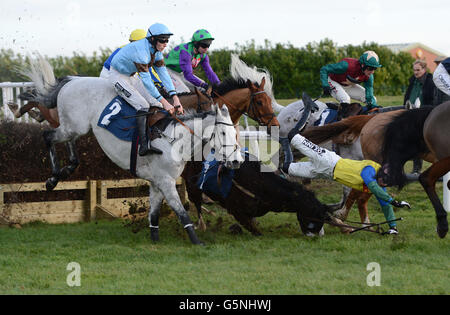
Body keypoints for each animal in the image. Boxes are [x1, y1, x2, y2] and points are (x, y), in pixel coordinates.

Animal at [19, 55, 244, 246]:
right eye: (223, 133)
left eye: (235, 132)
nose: (237, 161)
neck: (175, 138)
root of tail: (72, 81)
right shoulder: (166, 181)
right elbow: (182, 213)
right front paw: (197, 242)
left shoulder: (156, 182)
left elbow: (154, 214)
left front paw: (155, 239)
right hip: (73, 125)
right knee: (48, 136)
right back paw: (53, 178)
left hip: (76, 127)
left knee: (66, 140)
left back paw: (68, 168)